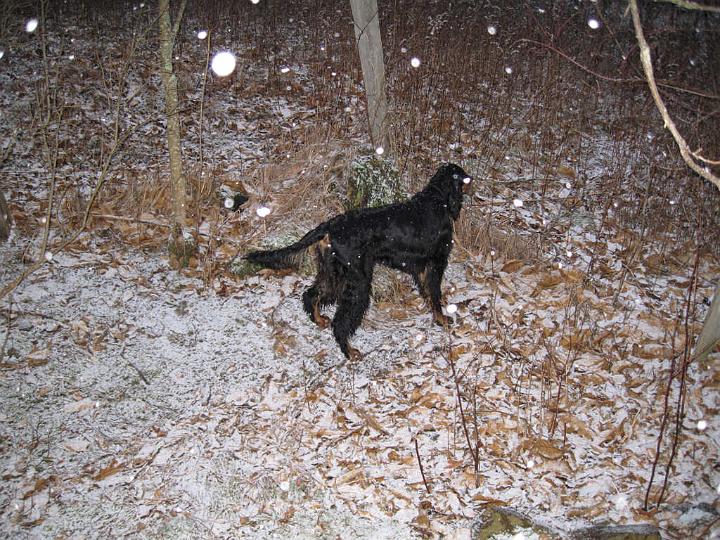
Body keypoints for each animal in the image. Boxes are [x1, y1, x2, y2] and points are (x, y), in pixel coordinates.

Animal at [246, 162, 472, 360]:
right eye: (464, 177)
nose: (472, 180)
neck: (437, 199)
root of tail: (329, 226)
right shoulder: (437, 261)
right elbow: (435, 293)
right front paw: (442, 319)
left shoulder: (423, 266)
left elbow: (429, 292)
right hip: (358, 280)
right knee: (340, 322)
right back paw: (349, 351)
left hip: (333, 272)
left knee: (311, 295)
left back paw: (319, 320)